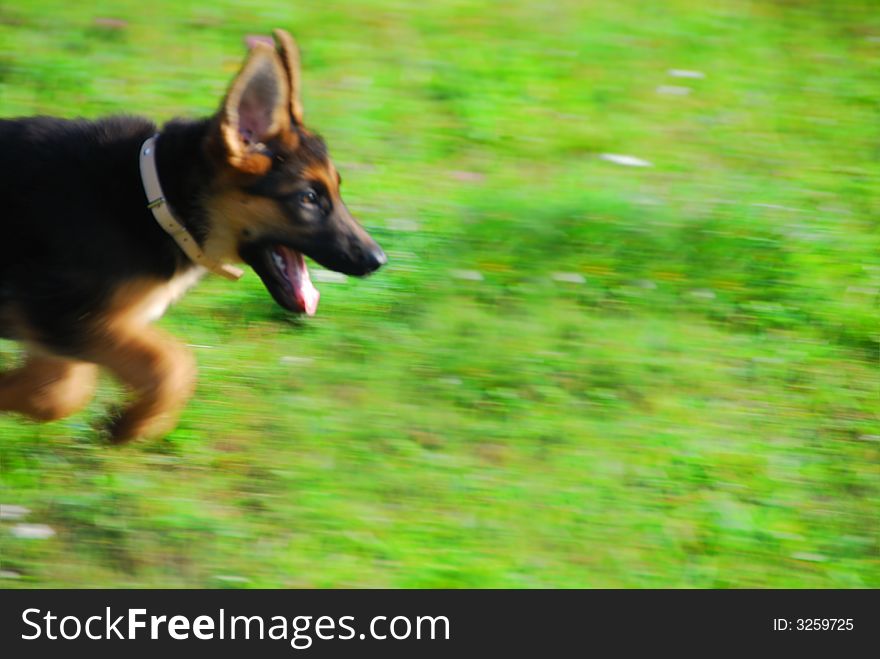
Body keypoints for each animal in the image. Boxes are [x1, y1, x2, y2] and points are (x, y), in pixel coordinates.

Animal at [0, 31, 384, 444]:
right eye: (309, 198)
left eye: (337, 190)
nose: (378, 260)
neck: (157, 200)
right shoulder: (63, 316)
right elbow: (171, 365)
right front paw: (132, 423)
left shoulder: (59, 326)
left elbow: (56, 389)